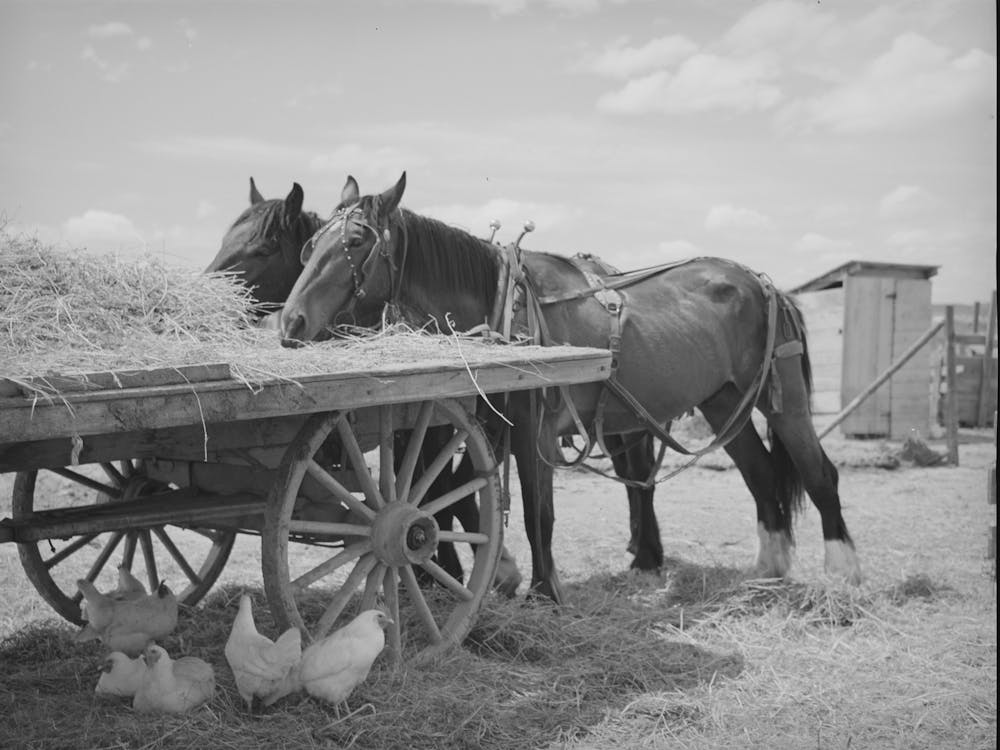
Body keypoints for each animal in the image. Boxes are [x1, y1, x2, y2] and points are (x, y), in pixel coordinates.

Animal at [278, 172, 863, 603]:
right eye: (308, 245)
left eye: (356, 242)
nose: (290, 322)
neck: (505, 308)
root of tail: (764, 282)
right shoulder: (492, 427)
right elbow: (467, 497)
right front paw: (498, 576)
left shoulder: (534, 430)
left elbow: (538, 512)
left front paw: (545, 591)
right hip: (723, 403)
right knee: (760, 473)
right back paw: (768, 569)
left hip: (781, 399)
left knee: (818, 472)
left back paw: (842, 570)